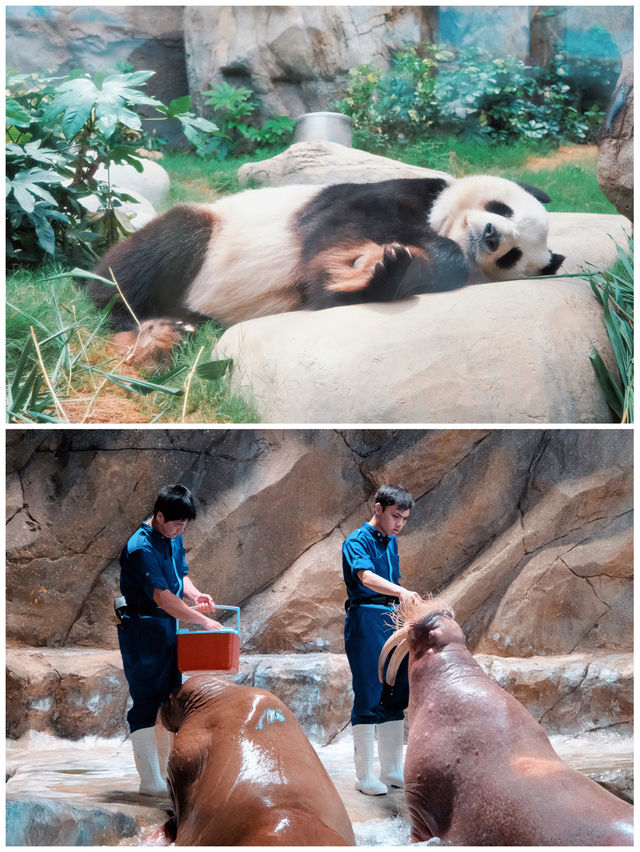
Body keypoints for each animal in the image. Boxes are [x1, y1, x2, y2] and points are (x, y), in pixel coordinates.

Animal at [89, 175, 564, 364]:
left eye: (512, 256)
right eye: (502, 208)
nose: (490, 236)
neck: (436, 224)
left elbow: (325, 294)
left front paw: (380, 272)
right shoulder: (391, 193)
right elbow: (341, 228)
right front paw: (367, 268)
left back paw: (173, 332)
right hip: (213, 231)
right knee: (160, 248)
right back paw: (136, 322)